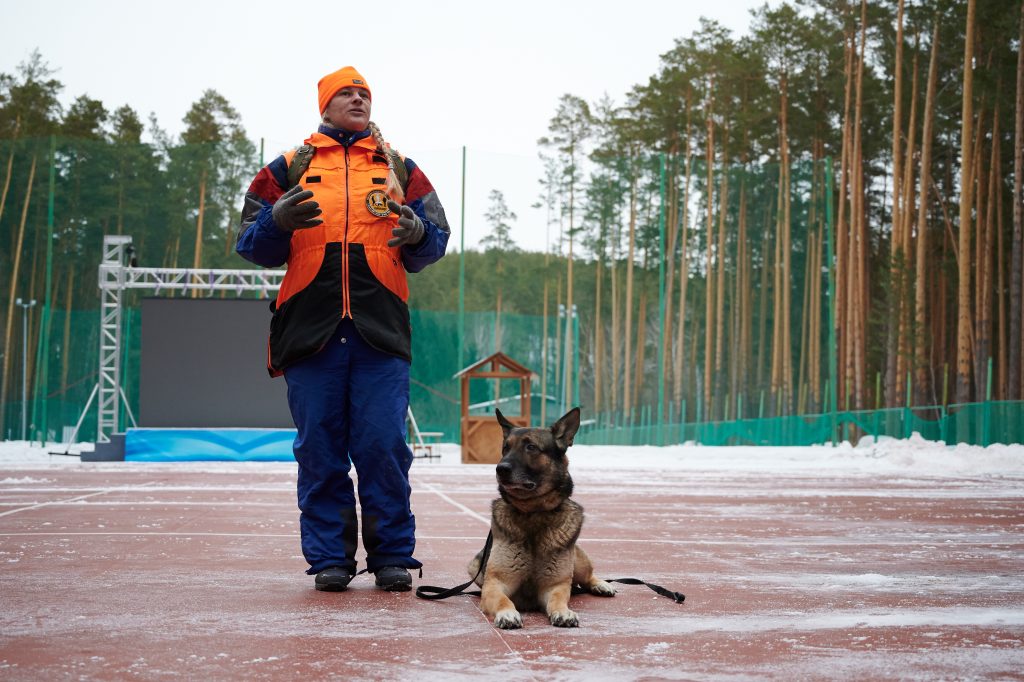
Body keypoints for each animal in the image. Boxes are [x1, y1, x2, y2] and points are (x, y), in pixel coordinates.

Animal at [466, 403, 614, 626]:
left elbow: (558, 600)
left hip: (577, 562)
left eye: (531, 447)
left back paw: (601, 585)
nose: (500, 469)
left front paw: (563, 612)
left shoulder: (555, 585)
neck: (534, 512)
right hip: (476, 565)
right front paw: (507, 613)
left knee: (588, 577)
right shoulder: (495, 583)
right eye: (506, 448)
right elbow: (503, 600)